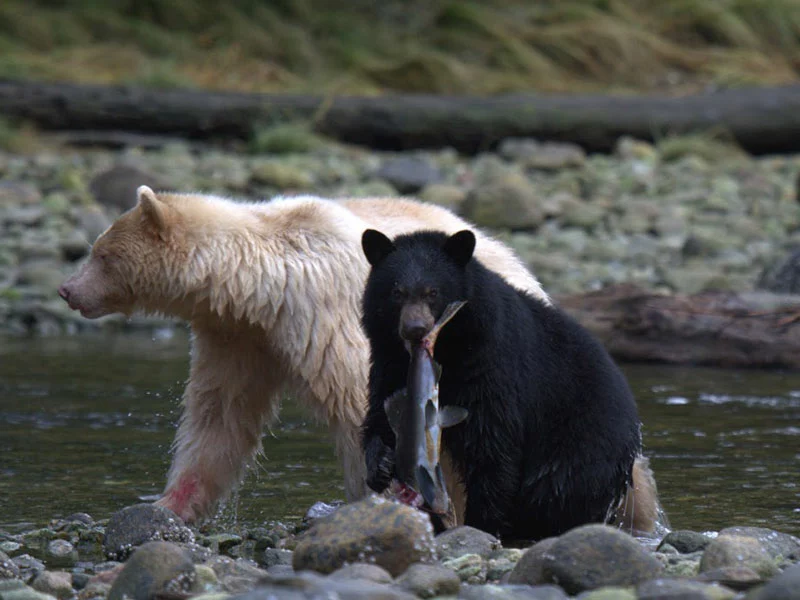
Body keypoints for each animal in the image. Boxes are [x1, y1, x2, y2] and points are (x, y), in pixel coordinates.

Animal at [360, 227, 660, 540]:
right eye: (396, 292)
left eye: (433, 292)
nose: (415, 329)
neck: (450, 349)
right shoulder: (388, 361)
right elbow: (382, 412)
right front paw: (380, 464)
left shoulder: (492, 362)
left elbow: (492, 440)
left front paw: (481, 523)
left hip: (581, 443)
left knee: (559, 490)